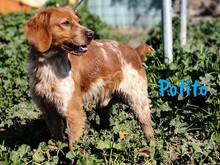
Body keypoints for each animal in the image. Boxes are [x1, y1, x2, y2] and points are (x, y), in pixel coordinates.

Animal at [23, 5, 155, 150]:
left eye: (78, 21)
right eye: (65, 23)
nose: (91, 33)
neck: (48, 64)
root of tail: (134, 51)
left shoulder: (73, 112)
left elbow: (72, 147)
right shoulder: (48, 110)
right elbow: (58, 141)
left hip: (138, 101)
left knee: (148, 128)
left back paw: (150, 150)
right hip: (103, 105)